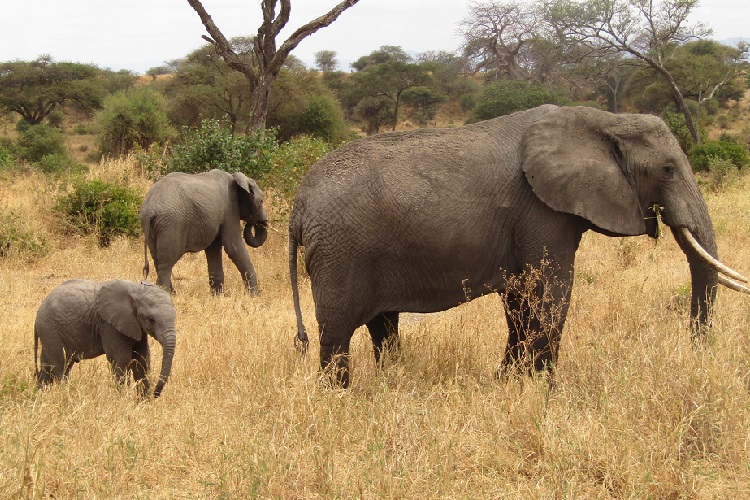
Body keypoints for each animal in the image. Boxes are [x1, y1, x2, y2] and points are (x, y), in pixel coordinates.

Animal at [35, 278, 178, 398]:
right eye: (151, 320)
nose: (156, 394)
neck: (137, 289)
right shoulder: (110, 326)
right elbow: (121, 359)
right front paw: (121, 401)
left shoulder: (136, 327)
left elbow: (142, 359)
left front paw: (144, 404)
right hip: (50, 329)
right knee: (59, 364)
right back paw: (65, 395)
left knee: (50, 365)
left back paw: (40, 396)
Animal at [141, 169, 270, 292]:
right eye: (261, 201)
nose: (256, 221)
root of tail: (149, 209)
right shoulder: (230, 207)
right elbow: (233, 246)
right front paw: (255, 296)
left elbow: (213, 249)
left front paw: (218, 296)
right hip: (171, 223)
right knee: (166, 264)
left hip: (154, 227)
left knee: (157, 261)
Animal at [290, 104, 750, 386]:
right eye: (668, 170)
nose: (697, 352)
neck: (605, 119)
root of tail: (299, 202)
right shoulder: (540, 210)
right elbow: (552, 293)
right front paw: (545, 391)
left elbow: (521, 300)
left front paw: (508, 382)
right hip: (339, 252)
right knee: (337, 334)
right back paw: (341, 400)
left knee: (383, 325)